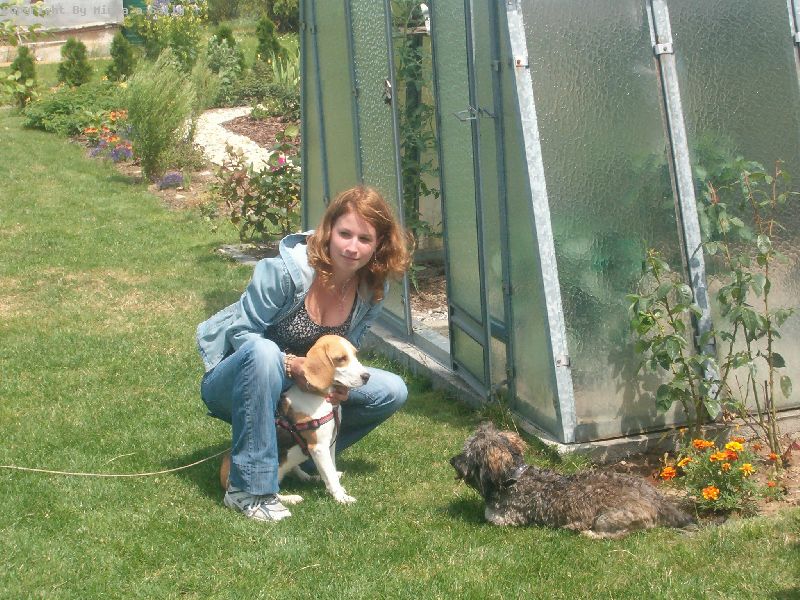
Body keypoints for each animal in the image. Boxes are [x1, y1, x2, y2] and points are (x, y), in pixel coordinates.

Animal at [220, 334, 369, 505]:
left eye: (355, 354)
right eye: (341, 358)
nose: (367, 376)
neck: (318, 395)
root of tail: (225, 478)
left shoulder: (330, 442)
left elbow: (330, 468)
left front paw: (335, 486)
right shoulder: (319, 446)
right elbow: (330, 475)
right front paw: (341, 497)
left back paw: (310, 477)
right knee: (272, 492)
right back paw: (291, 498)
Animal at [450, 423, 695, 538]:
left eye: (468, 453)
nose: (452, 460)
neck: (513, 476)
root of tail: (657, 499)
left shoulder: (502, 519)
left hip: (607, 518)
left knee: (619, 534)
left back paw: (584, 531)